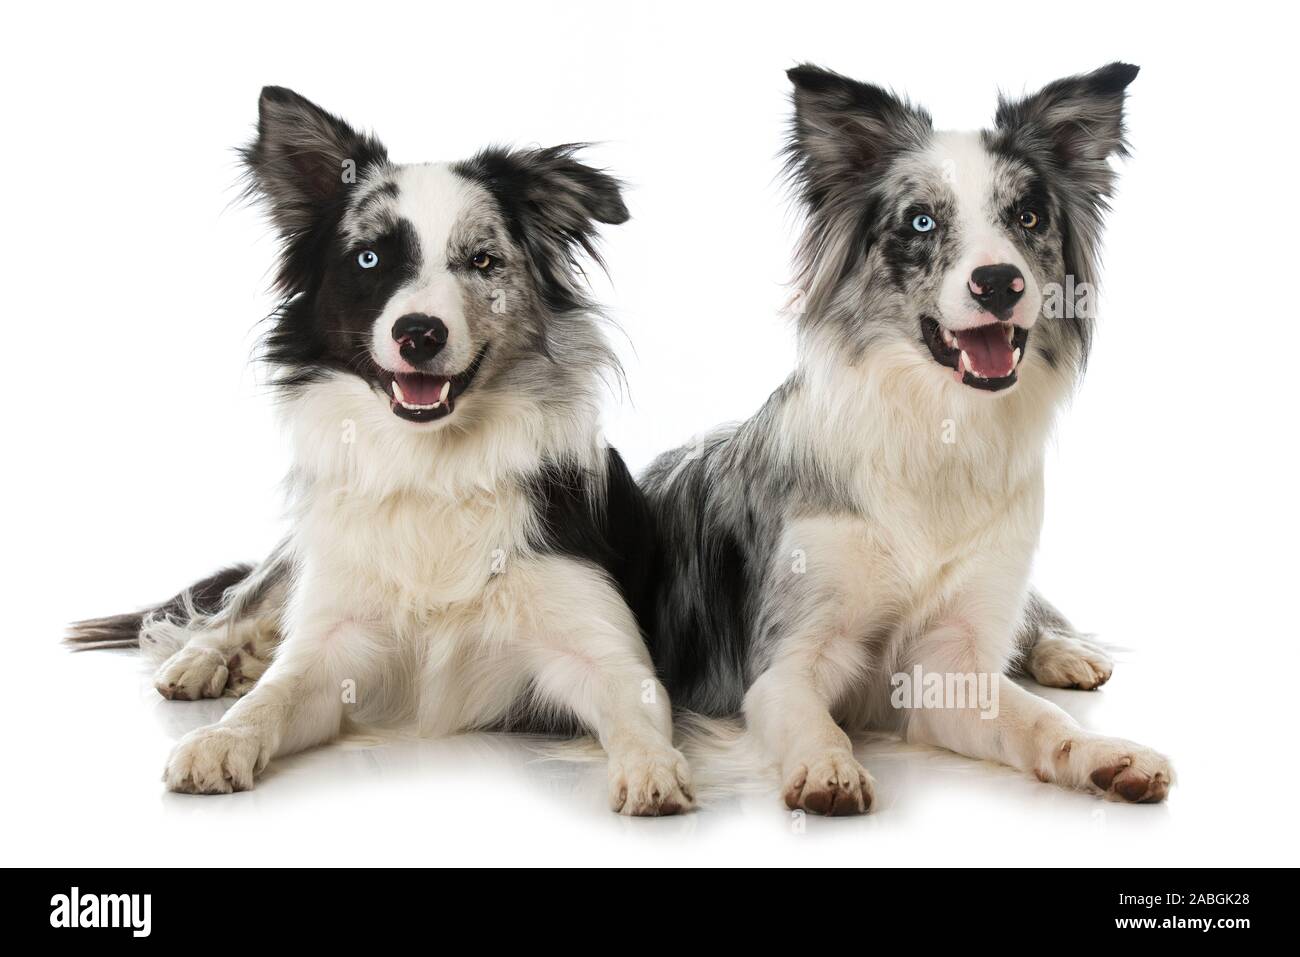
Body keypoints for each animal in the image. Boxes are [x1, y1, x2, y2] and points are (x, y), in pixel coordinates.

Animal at [72, 87, 696, 816]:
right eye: (369, 259)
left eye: (482, 260)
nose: (418, 334)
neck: (434, 464)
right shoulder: (333, 643)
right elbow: (274, 694)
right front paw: (220, 737)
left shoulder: (599, 643)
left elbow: (632, 705)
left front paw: (652, 765)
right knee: (241, 606)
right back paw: (203, 660)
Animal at [642, 63, 1180, 816]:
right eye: (921, 221)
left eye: (1028, 217)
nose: (999, 282)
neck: (940, 425)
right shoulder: (787, 659)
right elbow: (807, 712)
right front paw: (827, 766)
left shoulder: (954, 661)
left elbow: (1041, 721)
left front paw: (1105, 753)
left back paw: (1066, 653)